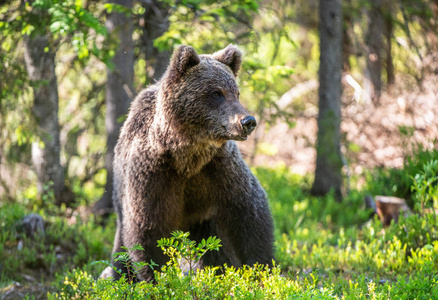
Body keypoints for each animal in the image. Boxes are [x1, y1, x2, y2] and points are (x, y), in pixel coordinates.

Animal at [103, 44, 274, 282]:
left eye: (237, 92)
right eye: (216, 93)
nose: (248, 121)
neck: (186, 154)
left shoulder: (220, 170)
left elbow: (250, 214)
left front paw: (259, 269)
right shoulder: (153, 174)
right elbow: (147, 229)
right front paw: (158, 279)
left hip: (205, 224)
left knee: (214, 252)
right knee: (121, 254)